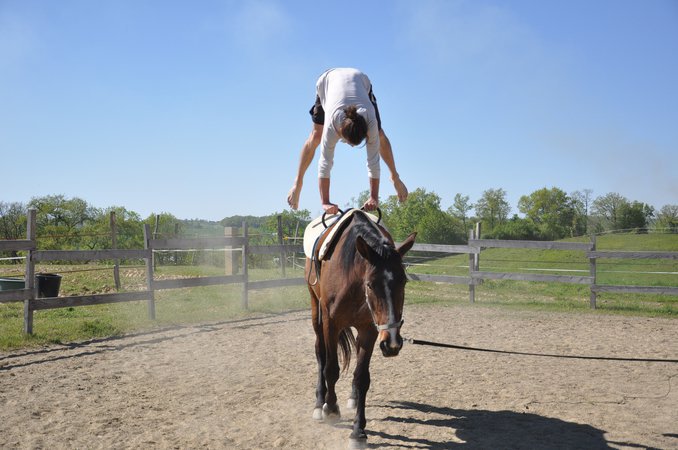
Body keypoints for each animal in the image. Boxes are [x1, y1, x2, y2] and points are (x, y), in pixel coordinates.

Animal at [305, 209, 416, 447]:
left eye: (403, 282)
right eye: (371, 285)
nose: (393, 343)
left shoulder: (369, 329)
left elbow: (362, 377)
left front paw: (358, 431)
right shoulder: (331, 323)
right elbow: (331, 368)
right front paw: (331, 408)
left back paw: (353, 398)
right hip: (316, 314)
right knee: (320, 355)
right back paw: (320, 404)